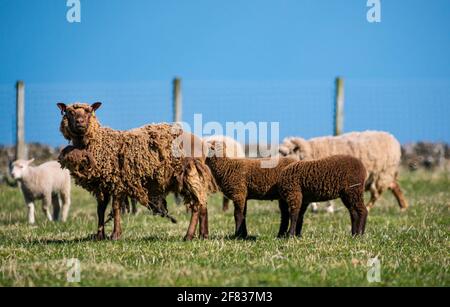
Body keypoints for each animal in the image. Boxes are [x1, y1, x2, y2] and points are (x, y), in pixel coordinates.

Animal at [56, 102, 216, 242]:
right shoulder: (102, 184)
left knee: (197, 204)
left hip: (188, 174)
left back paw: (189, 236)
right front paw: (99, 236)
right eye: (69, 112)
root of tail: (202, 143)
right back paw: (203, 235)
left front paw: (115, 235)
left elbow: (115, 208)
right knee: (202, 203)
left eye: (89, 111)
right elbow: (100, 209)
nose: (80, 122)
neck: (99, 142)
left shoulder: (117, 182)